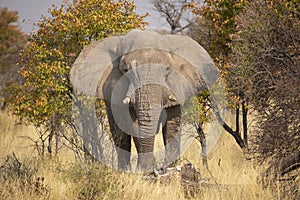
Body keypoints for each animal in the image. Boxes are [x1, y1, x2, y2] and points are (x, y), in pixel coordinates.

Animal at [70, 28, 216, 171]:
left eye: (168, 69)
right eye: (126, 70)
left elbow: (172, 124)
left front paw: (171, 168)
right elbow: (132, 124)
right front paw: (144, 171)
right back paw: (125, 170)